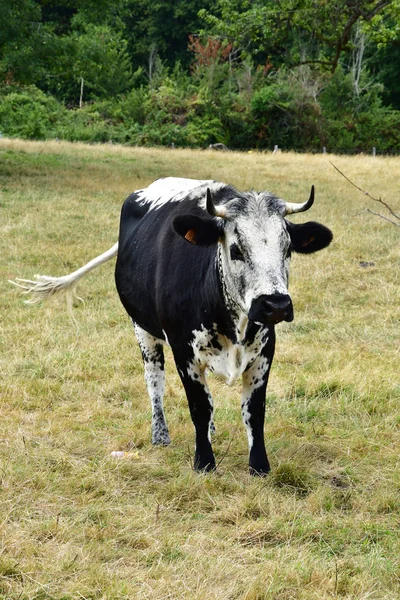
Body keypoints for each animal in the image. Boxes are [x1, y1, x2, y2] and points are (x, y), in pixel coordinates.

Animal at [11, 176, 332, 476]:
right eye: (236, 250)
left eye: (287, 249)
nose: (276, 305)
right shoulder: (183, 351)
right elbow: (198, 406)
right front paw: (204, 462)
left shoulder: (264, 350)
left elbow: (253, 410)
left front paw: (259, 466)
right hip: (143, 330)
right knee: (154, 380)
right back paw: (160, 434)